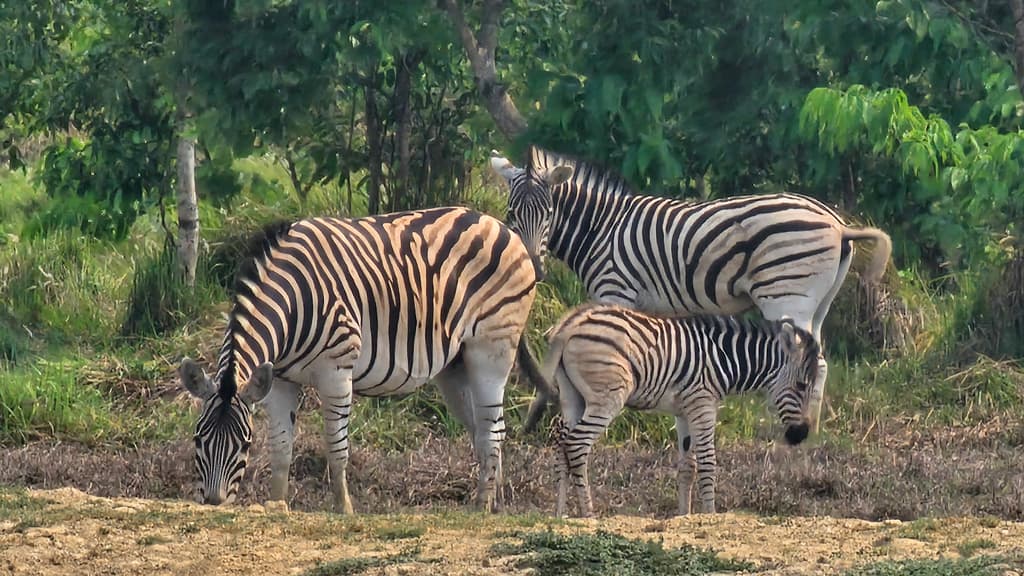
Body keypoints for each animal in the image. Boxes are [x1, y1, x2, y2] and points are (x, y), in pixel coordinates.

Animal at [180, 206, 540, 510]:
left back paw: (479, 508)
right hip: (456, 365)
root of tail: (497, 223)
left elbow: (336, 447)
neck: (292, 305)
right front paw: (277, 505)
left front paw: (344, 510)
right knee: (483, 429)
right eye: (197, 439)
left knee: (493, 429)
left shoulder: (337, 371)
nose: (213, 504)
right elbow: (281, 448)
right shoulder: (279, 380)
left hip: (491, 349)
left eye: (244, 443)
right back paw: (494, 505)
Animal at [491, 145, 892, 432]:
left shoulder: (614, 288)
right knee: (818, 360)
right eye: (512, 213)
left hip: (786, 296)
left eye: (548, 213)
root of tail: (838, 225)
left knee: (802, 356)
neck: (601, 228)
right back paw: (813, 429)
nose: (534, 268)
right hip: (817, 303)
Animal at [548, 303, 819, 512]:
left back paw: (561, 514)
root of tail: (573, 323)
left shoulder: (684, 412)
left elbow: (688, 467)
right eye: (802, 385)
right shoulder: (703, 404)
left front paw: (684, 516)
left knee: (562, 441)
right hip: (608, 396)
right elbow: (708, 463)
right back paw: (588, 514)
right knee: (577, 445)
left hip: (573, 397)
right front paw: (710, 515)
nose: (801, 434)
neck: (725, 358)